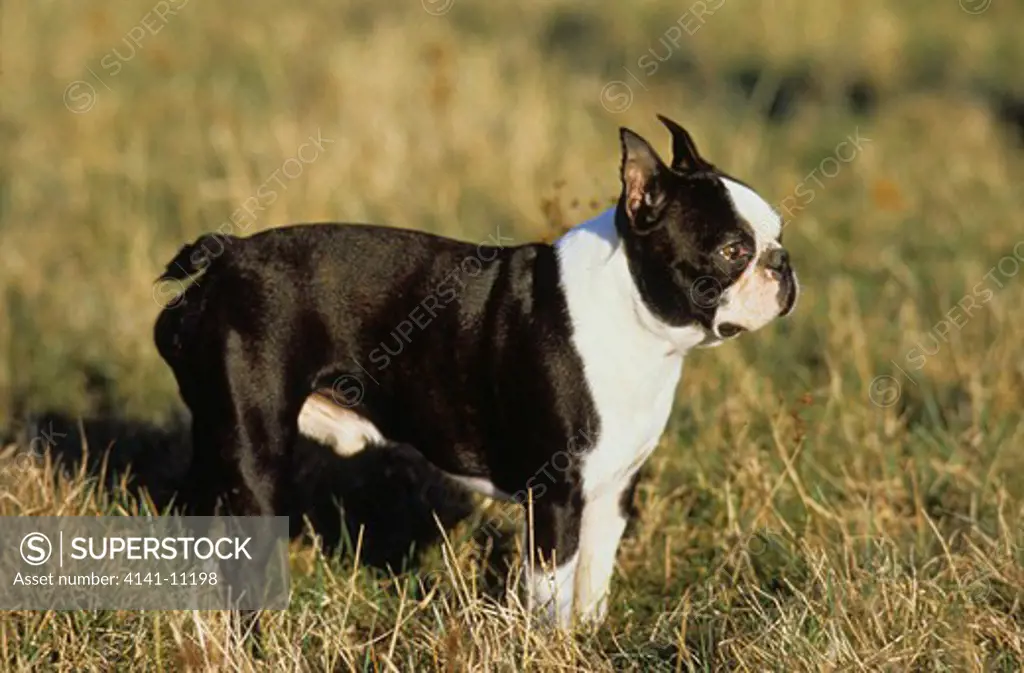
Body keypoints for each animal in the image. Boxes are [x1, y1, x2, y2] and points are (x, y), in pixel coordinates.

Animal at [153, 115, 798, 622]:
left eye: (777, 236)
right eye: (732, 251)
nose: (782, 263)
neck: (634, 318)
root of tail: (227, 256)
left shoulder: (613, 491)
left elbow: (594, 579)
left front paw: (590, 638)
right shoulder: (555, 494)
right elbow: (553, 592)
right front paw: (552, 647)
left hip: (219, 452)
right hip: (254, 459)